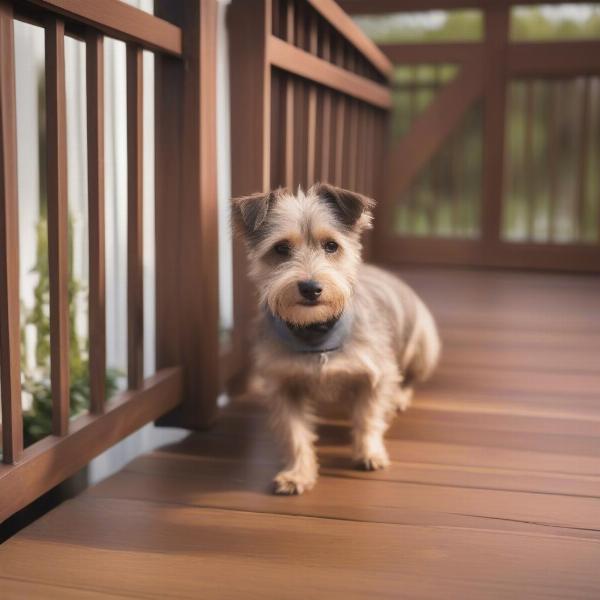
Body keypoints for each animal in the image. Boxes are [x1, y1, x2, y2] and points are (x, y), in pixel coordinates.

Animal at [231, 185, 440, 494]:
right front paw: (298, 473)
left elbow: (368, 417)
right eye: (281, 248)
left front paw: (369, 453)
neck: (316, 334)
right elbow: (295, 433)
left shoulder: (377, 375)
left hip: (425, 348)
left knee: (410, 377)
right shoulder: (283, 385)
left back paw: (400, 397)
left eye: (331, 245)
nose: (310, 288)